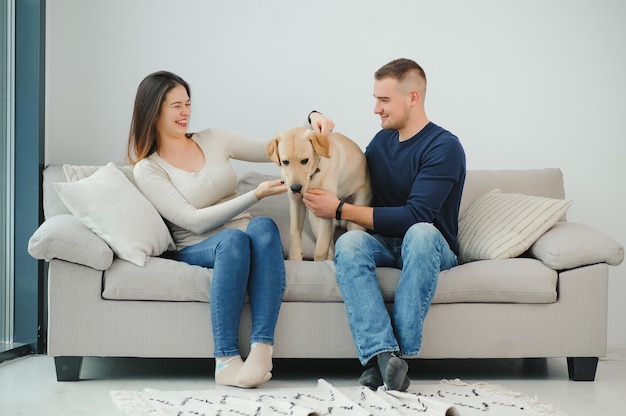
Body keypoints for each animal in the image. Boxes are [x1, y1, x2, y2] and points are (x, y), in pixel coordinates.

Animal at [264, 127, 370, 260]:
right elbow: (295, 234)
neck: (313, 176)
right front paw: (295, 258)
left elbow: (320, 251)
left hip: (354, 222)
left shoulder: (326, 210)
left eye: (305, 160)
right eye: (285, 162)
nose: (295, 188)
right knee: (330, 250)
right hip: (315, 220)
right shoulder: (296, 204)